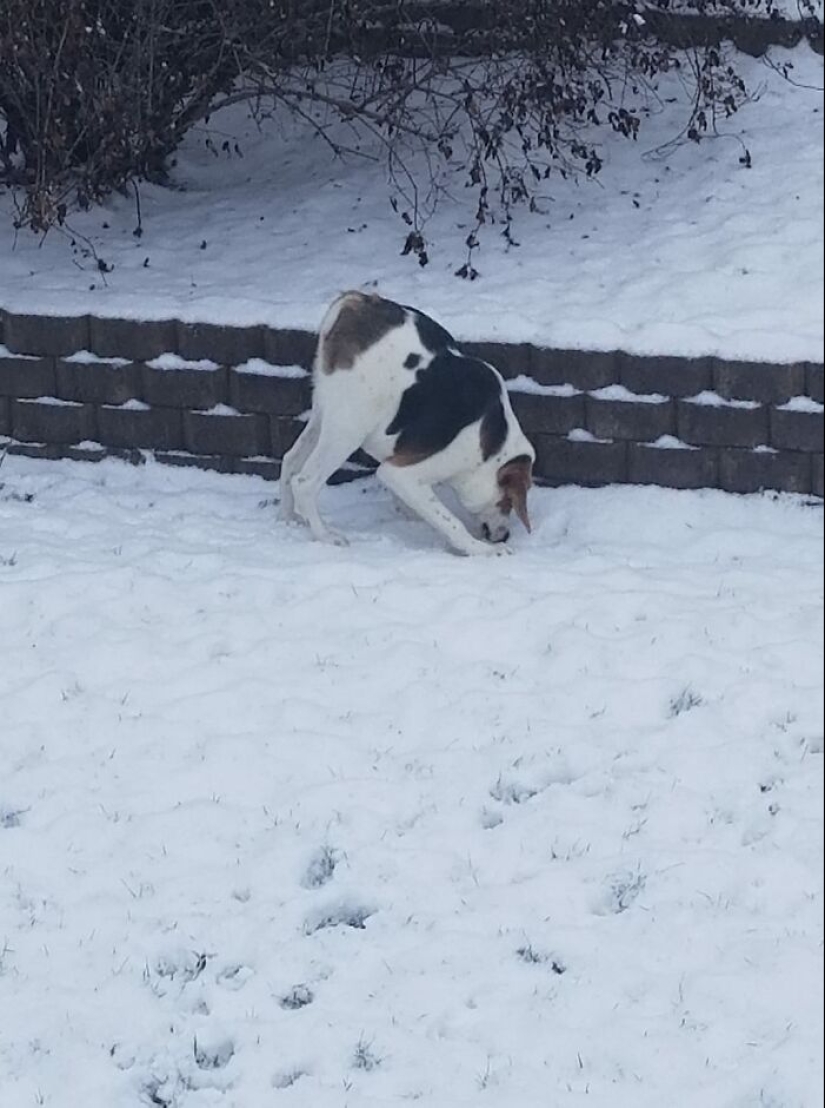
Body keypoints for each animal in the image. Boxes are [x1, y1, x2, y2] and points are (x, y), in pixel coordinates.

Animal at [277, 290, 533, 558]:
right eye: (507, 502)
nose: (505, 535)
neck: (490, 448)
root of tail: (357, 302)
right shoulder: (403, 475)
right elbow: (450, 522)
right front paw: (482, 550)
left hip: (325, 415)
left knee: (290, 460)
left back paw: (288, 518)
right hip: (347, 429)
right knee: (304, 483)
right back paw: (325, 535)